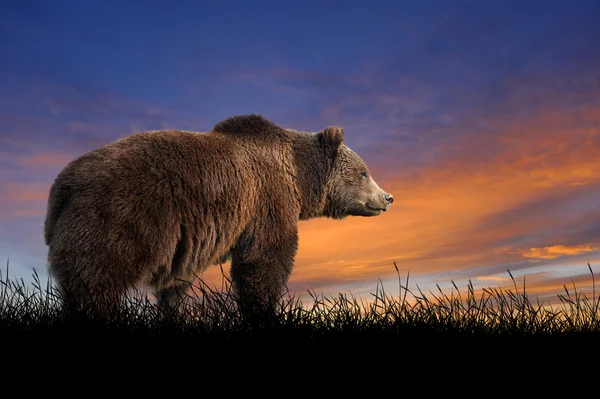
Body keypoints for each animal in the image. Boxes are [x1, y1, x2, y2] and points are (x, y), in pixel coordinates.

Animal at [43, 114, 394, 314]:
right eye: (364, 172)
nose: (388, 197)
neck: (298, 177)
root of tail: (63, 184)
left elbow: (175, 284)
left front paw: (171, 310)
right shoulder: (267, 199)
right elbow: (264, 261)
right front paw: (263, 308)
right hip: (119, 219)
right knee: (95, 282)